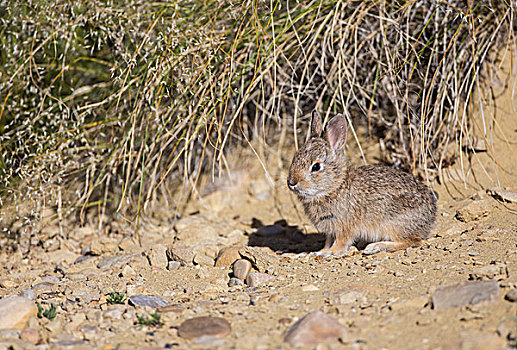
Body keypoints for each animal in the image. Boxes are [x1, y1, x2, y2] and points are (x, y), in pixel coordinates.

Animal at [286, 110, 436, 256]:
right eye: (295, 157)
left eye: (316, 167)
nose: (291, 182)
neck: (335, 187)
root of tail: (430, 217)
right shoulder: (330, 229)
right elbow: (328, 242)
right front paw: (317, 252)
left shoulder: (344, 226)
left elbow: (341, 242)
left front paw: (329, 253)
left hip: (392, 223)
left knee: (412, 241)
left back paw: (375, 247)